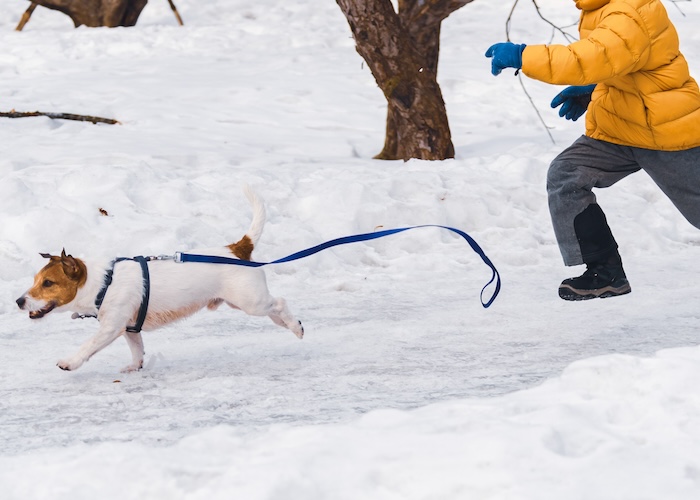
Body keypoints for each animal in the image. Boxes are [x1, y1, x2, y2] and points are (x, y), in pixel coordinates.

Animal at [15, 187, 304, 372]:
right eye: (36, 280)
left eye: (48, 283)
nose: (18, 301)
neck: (103, 283)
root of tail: (238, 249)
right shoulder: (130, 328)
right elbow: (137, 349)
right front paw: (135, 366)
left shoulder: (110, 327)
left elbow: (88, 345)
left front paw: (70, 362)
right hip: (244, 301)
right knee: (275, 309)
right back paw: (287, 324)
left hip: (251, 301)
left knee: (280, 302)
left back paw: (295, 326)